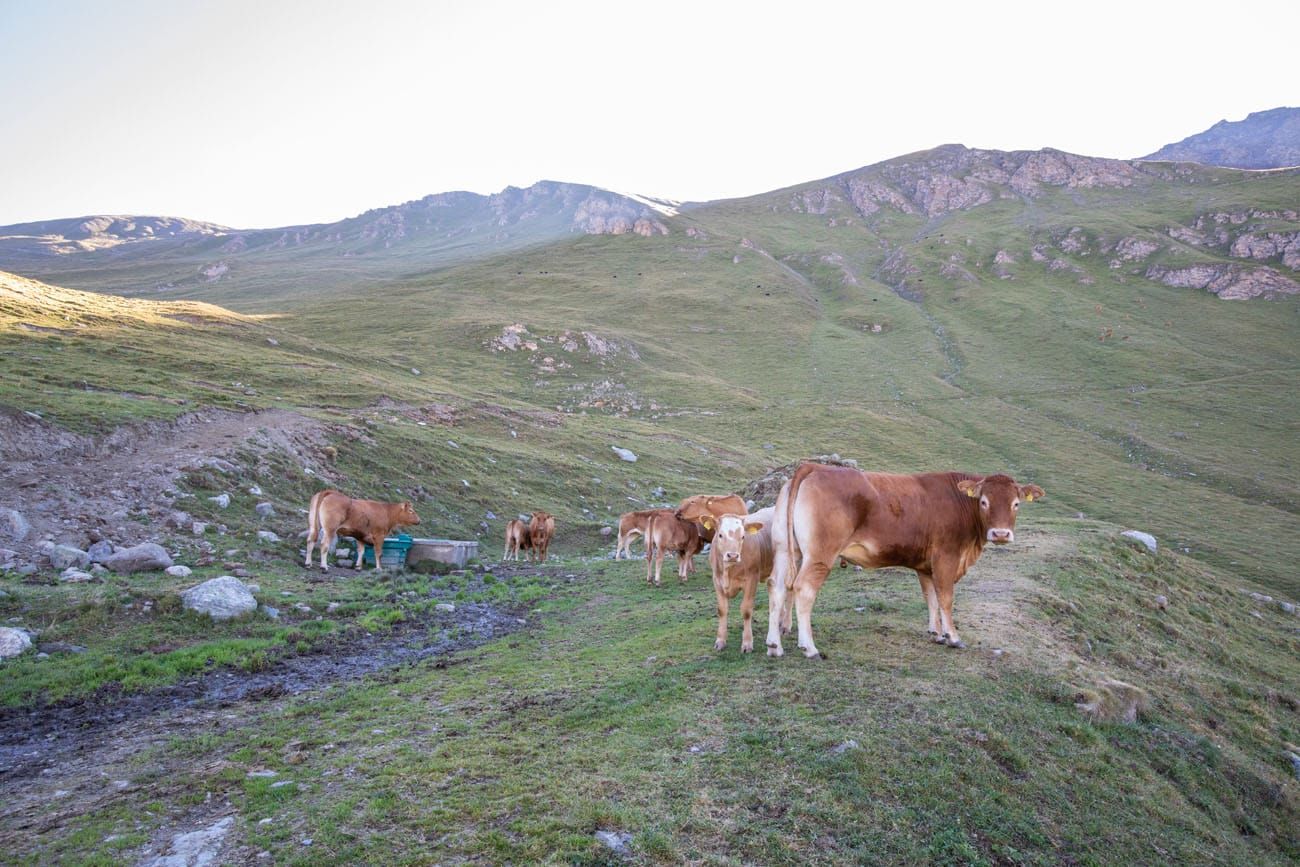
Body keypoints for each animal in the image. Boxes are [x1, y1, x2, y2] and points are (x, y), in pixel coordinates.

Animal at [702, 504, 769, 655]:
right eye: (720, 535)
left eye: (743, 536)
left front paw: (747, 643)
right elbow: (722, 609)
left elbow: (746, 610)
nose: (732, 555)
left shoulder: (752, 579)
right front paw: (720, 641)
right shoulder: (717, 580)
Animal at [764, 467, 1040, 657]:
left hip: (786, 550)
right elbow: (945, 598)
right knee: (803, 589)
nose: (1001, 534)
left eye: (1016, 504)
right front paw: (952, 637)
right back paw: (809, 647)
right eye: (984, 502)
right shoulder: (946, 558)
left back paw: (774, 645)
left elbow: (931, 598)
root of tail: (813, 466)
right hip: (820, 554)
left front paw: (936, 633)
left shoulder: (925, 566)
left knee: (776, 587)